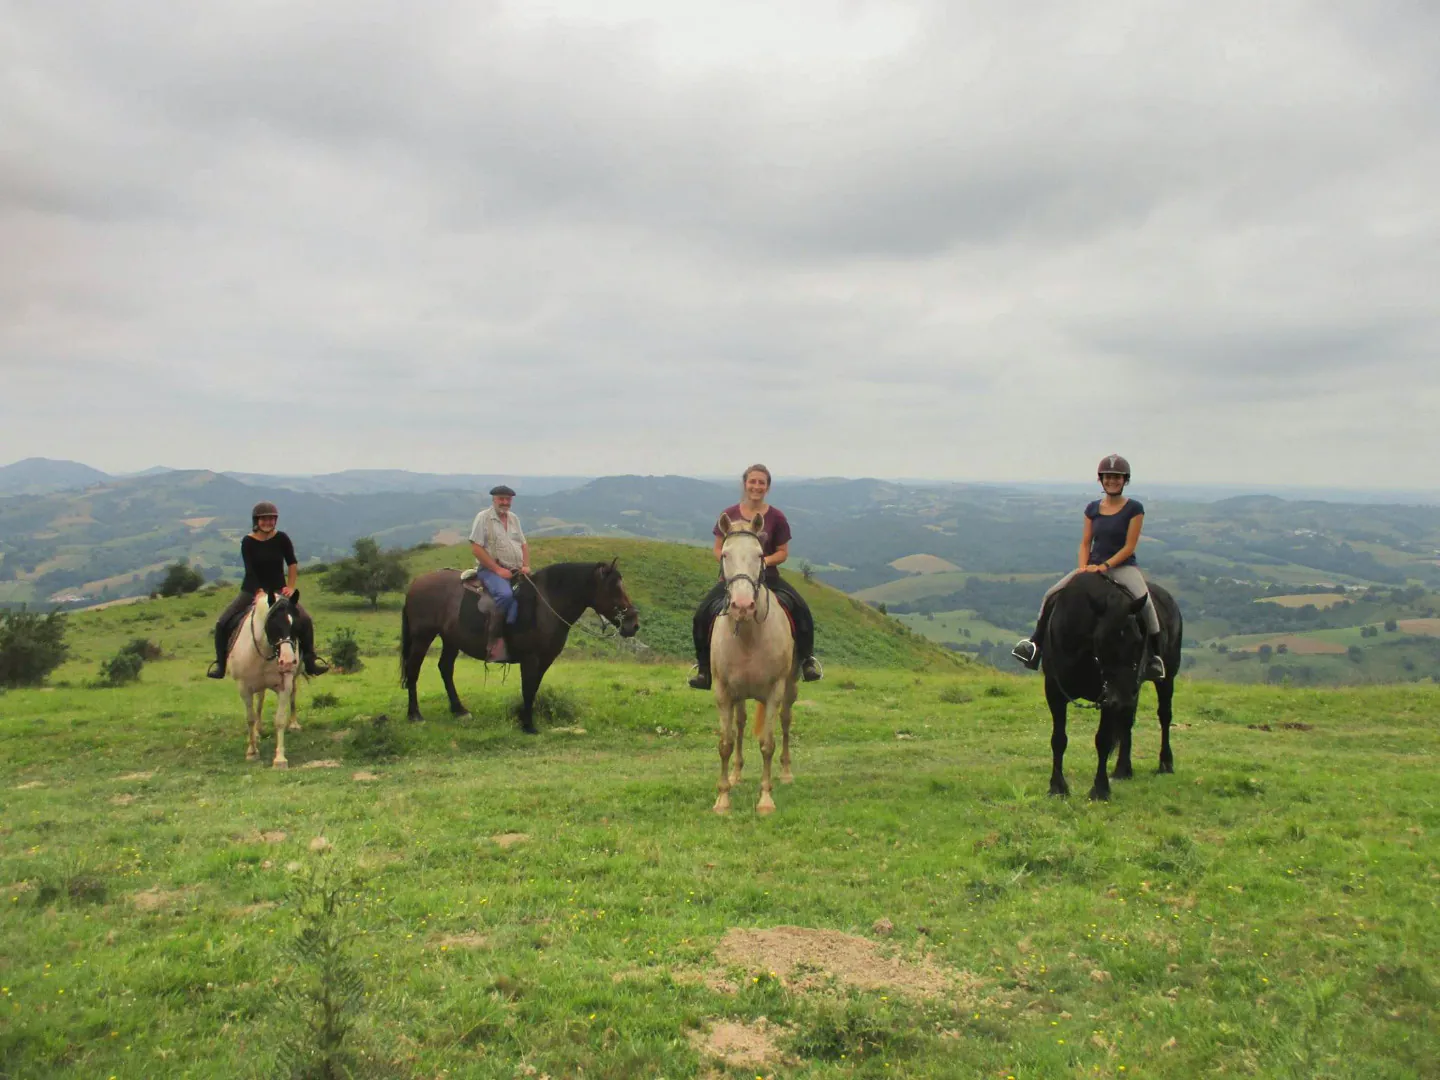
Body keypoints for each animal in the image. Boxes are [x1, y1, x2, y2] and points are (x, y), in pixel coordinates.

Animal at [226, 593, 302, 771]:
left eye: (295, 624)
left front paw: (280, 759)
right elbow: (250, 718)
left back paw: (293, 724)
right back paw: (257, 731)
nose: (288, 662)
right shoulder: (244, 687)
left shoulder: (285, 684)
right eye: (272, 623)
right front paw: (252, 752)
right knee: (259, 700)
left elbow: (279, 720)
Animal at [397, 558, 639, 737]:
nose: (633, 624)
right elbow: (528, 688)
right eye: (614, 589)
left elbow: (533, 688)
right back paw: (415, 715)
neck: (544, 606)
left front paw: (525, 719)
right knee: (413, 670)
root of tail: (416, 583)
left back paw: (459, 710)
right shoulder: (530, 658)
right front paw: (528, 725)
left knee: (445, 668)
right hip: (423, 637)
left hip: (450, 640)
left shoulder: (545, 660)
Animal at [708, 512, 800, 812]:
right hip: (739, 695)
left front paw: (766, 799)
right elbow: (725, 743)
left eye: (760, 555)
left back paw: (786, 772)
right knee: (740, 725)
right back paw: (736, 775)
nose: (742, 606)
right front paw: (723, 799)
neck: (749, 635)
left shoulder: (774, 692)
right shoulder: (723, 692)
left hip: (790, 687)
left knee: (785, 721)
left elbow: (767, 744)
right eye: (725, 554)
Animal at [1042, 578, 1186, 800]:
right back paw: (1122, 770)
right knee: (1127, 722)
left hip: (1163, 678)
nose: (1123, 694)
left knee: (1164, 716)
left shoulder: (1109, 698)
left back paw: (1165, 764)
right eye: (1102, 640)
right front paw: (1057, 787)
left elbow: (1103, 740)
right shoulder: (1055, 691)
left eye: (1139, 640)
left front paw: (1100, 789)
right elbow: (1058, 739)